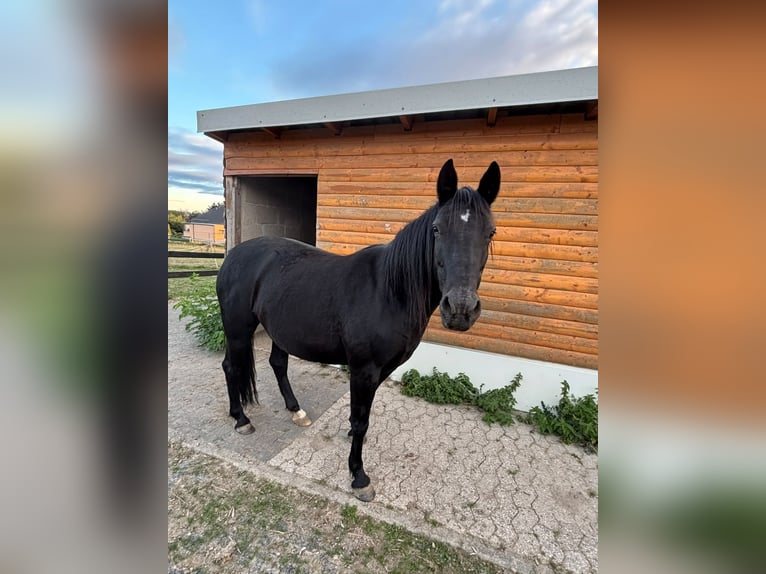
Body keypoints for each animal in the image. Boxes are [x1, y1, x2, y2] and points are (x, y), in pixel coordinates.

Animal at [216, 158, 500, 501]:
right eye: (436, 229)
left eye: (490, 232)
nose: (460, 309)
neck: (389, 291)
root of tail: (234, 255)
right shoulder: (364, 369)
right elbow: (362, 419)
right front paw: (359, 476)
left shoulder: (381, 370)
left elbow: (360, 416)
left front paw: (352, 438)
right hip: (237, 329)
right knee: (231, 366)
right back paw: (240, 418)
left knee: (277, 364)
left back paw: (296, 411)